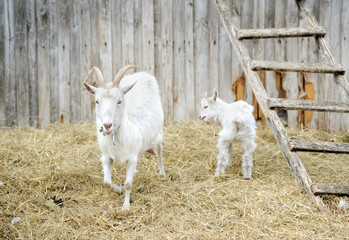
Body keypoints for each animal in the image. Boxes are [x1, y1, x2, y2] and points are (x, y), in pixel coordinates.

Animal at [84, 65, 166, 210]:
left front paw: (126, 206)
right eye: (97, 101)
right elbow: (106, 181)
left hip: (159, 131)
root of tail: (142, 74)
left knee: (160, 148)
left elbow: (128, 184)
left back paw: (161, 171)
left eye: (119, 101)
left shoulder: (131, 158)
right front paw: (118, 188)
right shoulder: (107, 156)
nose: (107, 125)